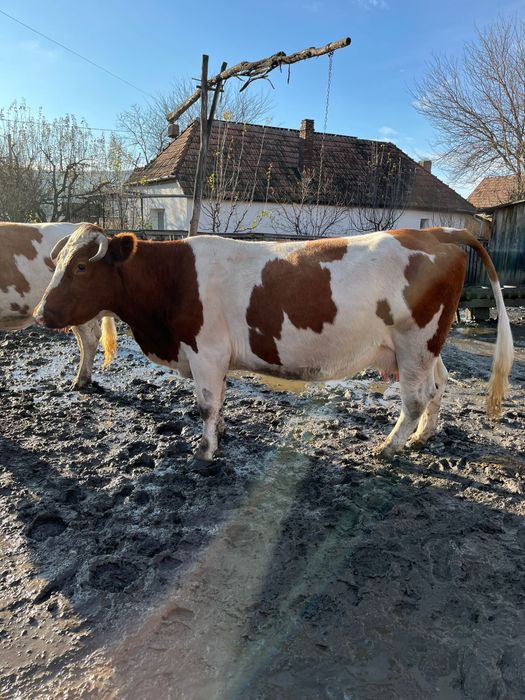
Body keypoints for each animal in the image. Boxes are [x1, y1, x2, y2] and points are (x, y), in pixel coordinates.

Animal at [34, 224, 513, 465]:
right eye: (57, 263)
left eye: (81, 267)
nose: (40, 313)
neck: (173, 278)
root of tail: (435, 231)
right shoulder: (214, 357)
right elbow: (220, 401)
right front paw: (220, 435)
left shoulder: (205, 350)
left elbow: (206, 404)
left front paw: (205, 451)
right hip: (426, 345)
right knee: (438, 386)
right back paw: (422, 437)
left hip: (415, 341)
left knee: (415, 397)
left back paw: (390, 446)